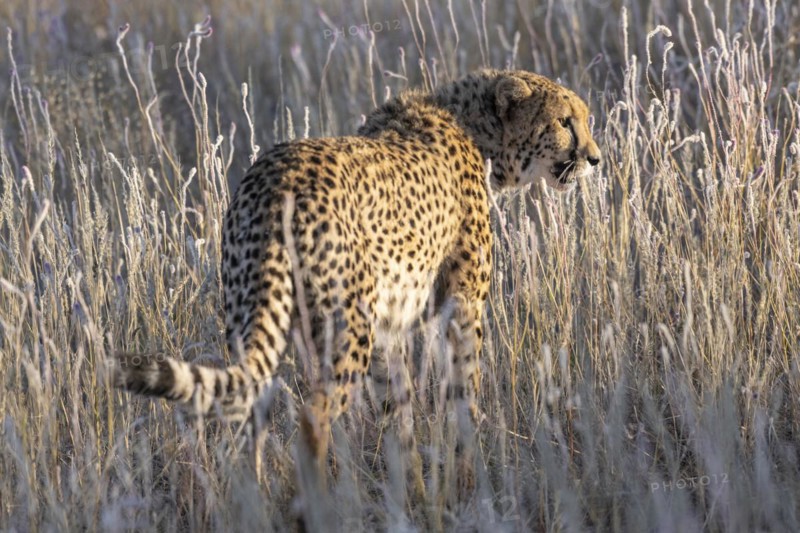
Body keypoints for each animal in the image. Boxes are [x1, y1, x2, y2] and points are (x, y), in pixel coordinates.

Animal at [114, 68, 601, 487]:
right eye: (564, 121)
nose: (594, 159)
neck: (473, 126)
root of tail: (277, 177)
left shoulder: (387, 325)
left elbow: (397, 412)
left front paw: (411, 489)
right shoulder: (461, 306)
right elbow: (464, 396)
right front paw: (467, 479)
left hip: (252, 319)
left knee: (245, 417)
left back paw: (256, 500)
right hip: (346, 328)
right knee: (313, 418)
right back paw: (317, 504)